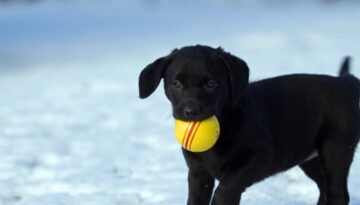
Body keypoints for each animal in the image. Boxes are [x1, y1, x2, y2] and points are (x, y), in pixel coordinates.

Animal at [139, 45, 360, 205]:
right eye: (176, 84)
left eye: (211, 84)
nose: (191, 111)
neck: (225, 123)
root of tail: (345, 82)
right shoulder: (198, 173)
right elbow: (195, 200)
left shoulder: (258, 156)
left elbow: (226, 189)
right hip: (309, 157)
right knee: (324, 188)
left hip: (335, 149)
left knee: (337, 193)